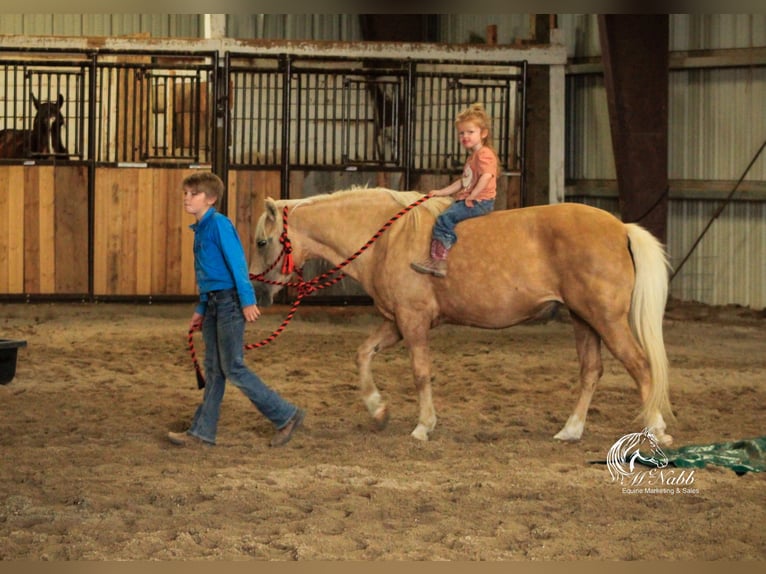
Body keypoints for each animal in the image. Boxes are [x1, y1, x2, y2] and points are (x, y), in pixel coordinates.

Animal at [249, 188, 676, 446]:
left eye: (262, 241)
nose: (257, 292)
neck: (387, 239)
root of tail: (621, 228)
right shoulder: (396, 323)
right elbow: (363, 354)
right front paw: (378, 409)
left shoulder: (413, 322)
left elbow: (421, 373)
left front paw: (423, 426)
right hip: (583, 319)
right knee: (591, 371)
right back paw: (570, 430)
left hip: (606, 319)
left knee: (640, 366)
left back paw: (656, 430)